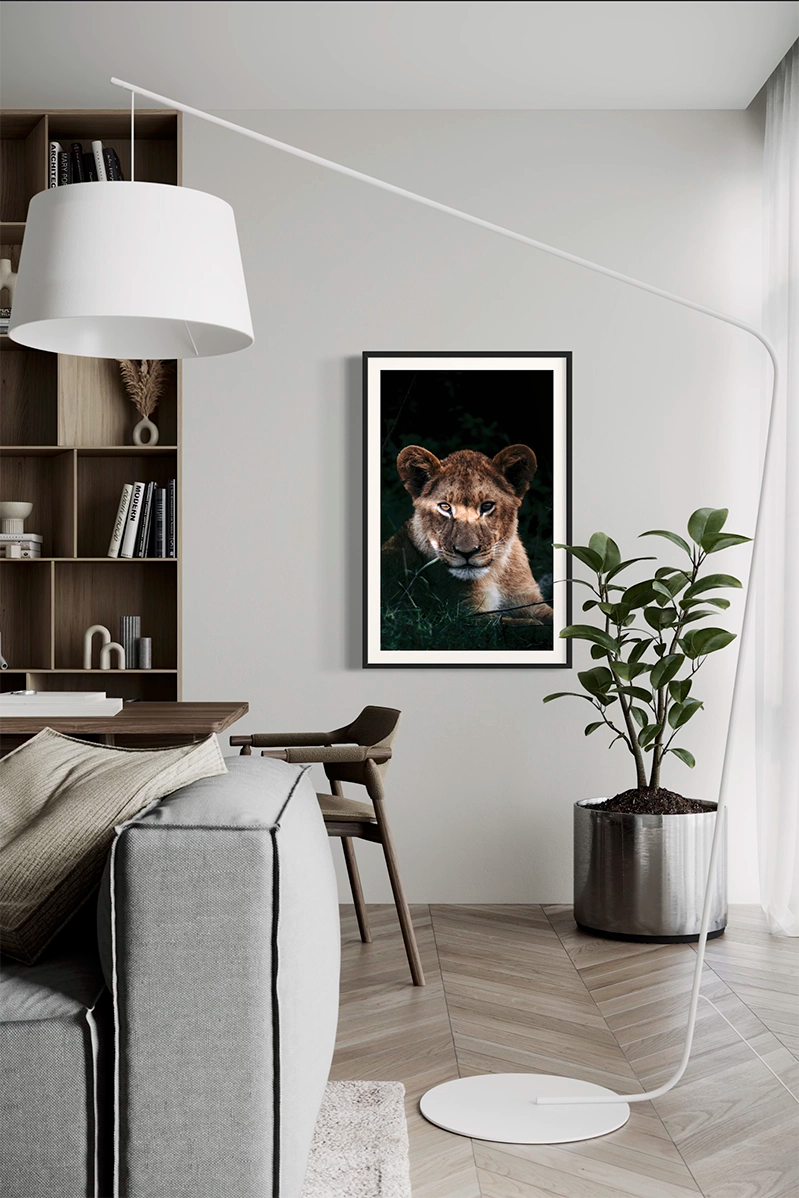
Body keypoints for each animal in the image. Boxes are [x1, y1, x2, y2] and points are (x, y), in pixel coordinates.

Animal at [381, 444, 553, 624]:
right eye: (445, 507)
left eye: (486, 506)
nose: (466, 553)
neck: (496, 573)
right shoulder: (463, 616)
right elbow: (524, 624)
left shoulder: (530, 601)